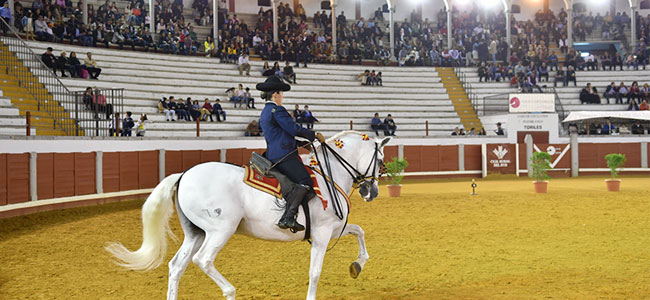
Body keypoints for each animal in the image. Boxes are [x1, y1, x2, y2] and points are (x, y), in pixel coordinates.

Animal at [106, 132, 390, 300]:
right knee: (203, 260)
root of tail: (184, 174)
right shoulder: (321, 234)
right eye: (380, 160)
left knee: (177, 266)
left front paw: (357, 265)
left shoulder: (335, 228)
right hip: (220, 230)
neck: (329, 175)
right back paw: (230, 291)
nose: (372, 191)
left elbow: (359, 231)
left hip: (196, 233)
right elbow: (315, 272)